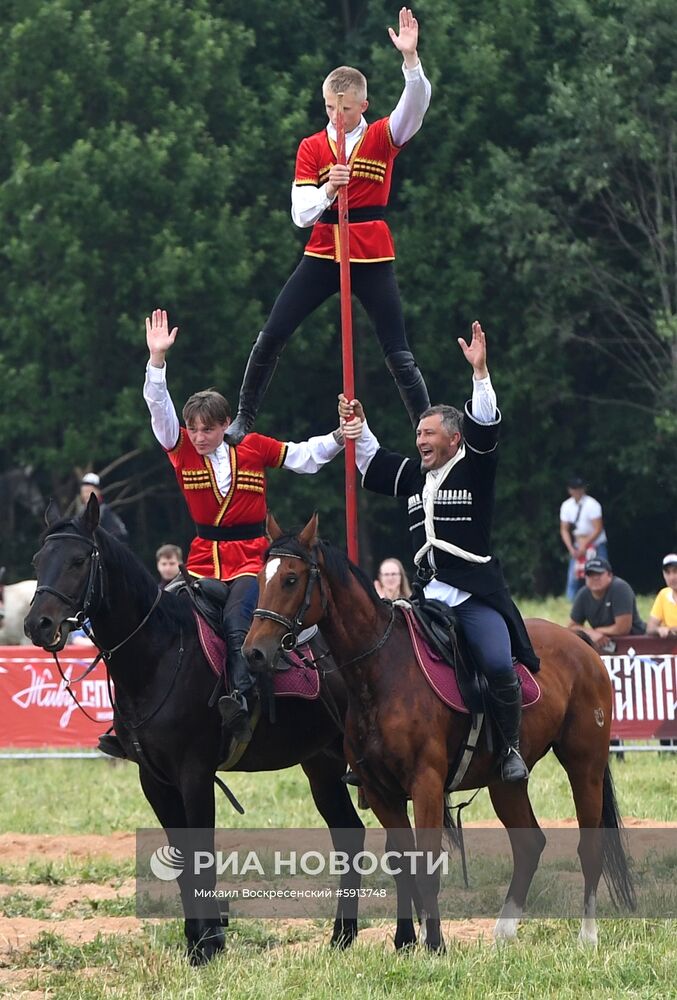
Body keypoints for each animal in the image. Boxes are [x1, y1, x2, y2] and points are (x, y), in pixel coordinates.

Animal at [23, 496, 364, 964]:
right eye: (39, 560)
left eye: (78, 560)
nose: (37, 624)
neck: (161, 651)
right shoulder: (154, 779)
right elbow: (183, 857)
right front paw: (196, 942)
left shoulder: (195, 774)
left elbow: (200, 853)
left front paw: (210, 943)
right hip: (322, 764)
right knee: (350, 833)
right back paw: (342, 937)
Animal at [246, 516, 636, 952]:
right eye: (261, 578)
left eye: (291, 579)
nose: (254, 652)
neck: (379, 670)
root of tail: (583, 646)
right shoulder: (381, 792)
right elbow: (403, 861)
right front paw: (410, 941)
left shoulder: (426, 785)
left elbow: (426, 863)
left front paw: (434, 945)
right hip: (505, 783)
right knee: (529, 844)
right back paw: (504, 930)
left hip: (585, 766)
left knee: (590, 845)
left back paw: (587, 934)